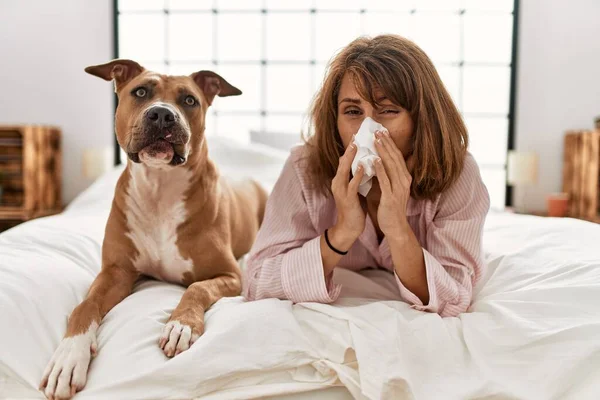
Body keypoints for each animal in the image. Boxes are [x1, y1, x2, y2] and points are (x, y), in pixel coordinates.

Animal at [39, 60, 268, 400]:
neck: (160, 189)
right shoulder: (116, 272)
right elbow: (85, 305)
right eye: (141, 92)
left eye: (189, 100)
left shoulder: (230, 275)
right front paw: (68, 356)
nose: (162, 114)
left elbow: (197, 287)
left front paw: (180, 325)